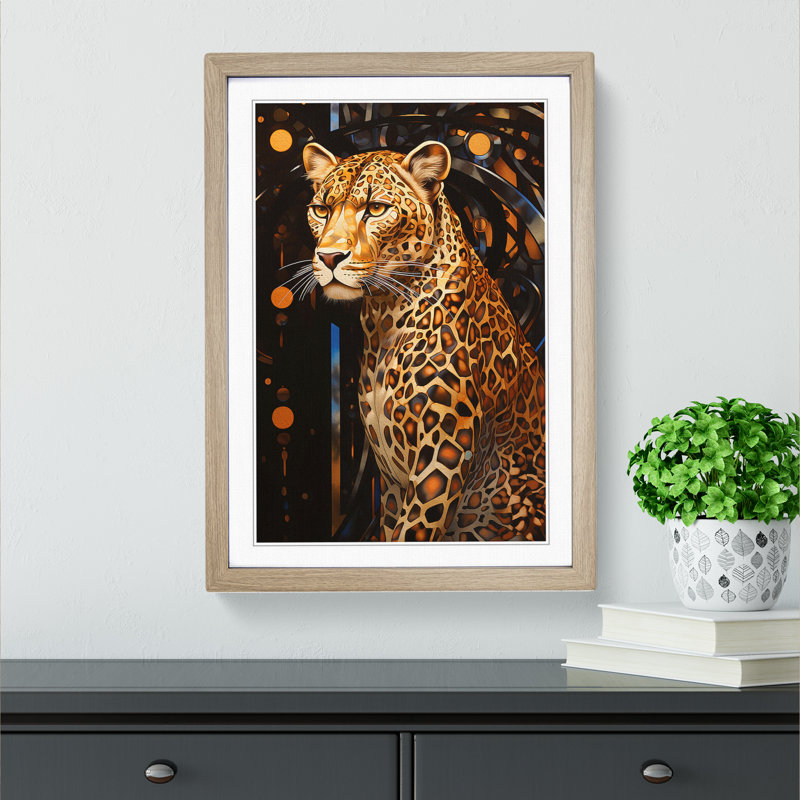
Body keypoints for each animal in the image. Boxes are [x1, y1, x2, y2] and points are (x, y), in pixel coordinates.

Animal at [301, 139, 545, 542]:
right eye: (321, 210)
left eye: (376, 209)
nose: (329, 256)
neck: (383, 317)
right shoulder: (392, 480)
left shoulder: (442, 456)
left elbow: (413, 531)